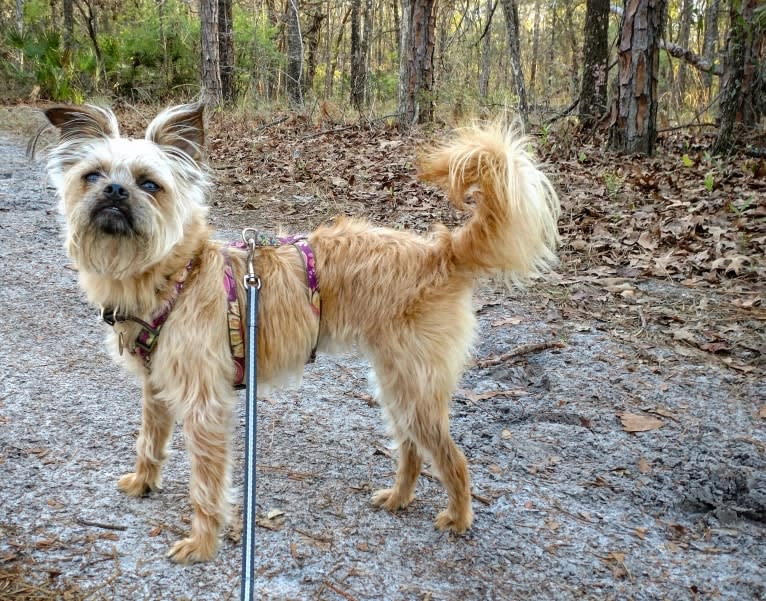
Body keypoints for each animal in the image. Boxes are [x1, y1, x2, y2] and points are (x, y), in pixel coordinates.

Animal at [40, 103, 560, 564]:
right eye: (92, 175)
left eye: (149, 184)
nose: (114, 191)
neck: (176, 275)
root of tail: (441, 251)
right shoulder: (156, 389)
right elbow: (148, 441)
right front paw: (143, 483)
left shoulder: (204, 407)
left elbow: (206, 484)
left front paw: (203, 544)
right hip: (395, 382)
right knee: (411, 448)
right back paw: (399, 497)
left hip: (413, 386)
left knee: (452, 458)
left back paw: (459, 516)